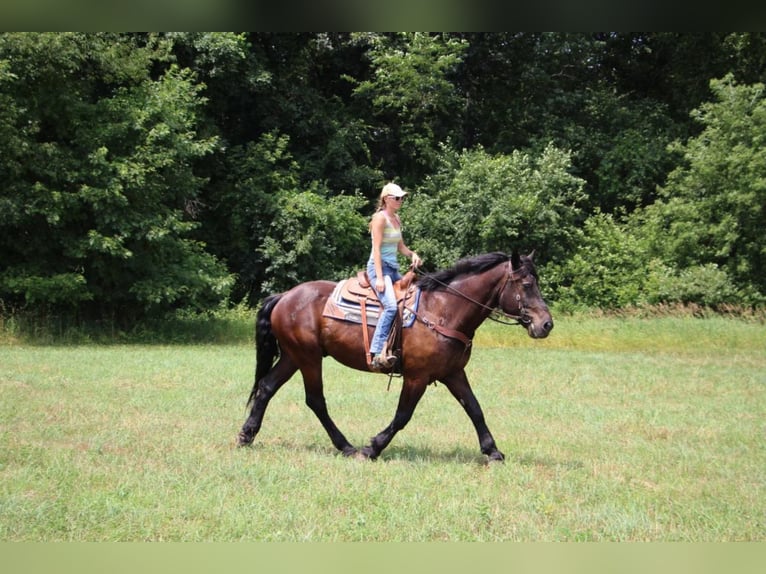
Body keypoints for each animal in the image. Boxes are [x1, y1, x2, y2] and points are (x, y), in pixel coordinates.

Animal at [237, 252, 556, 464]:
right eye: (526, 284)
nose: (546, 324)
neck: (443, 310)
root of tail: (284, 296)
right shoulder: (417, 377)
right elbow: (403, 415)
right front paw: (373, 448)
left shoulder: (453, 373)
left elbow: (475, 409)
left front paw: (493, 451)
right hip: (308, 358)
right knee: (315, 400)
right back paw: (347, 446)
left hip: (294, 357)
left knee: (266, 388)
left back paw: (246, 435)